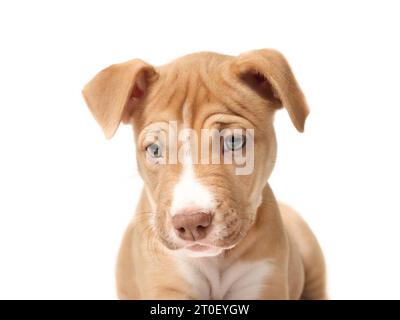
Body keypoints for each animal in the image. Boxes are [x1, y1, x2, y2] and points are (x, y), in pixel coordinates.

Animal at [83, 48, 326, 298]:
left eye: (233, 141)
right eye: (155, 149)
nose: (190, 223)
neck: (216, 259)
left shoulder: (264, 279)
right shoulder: (167, 283)